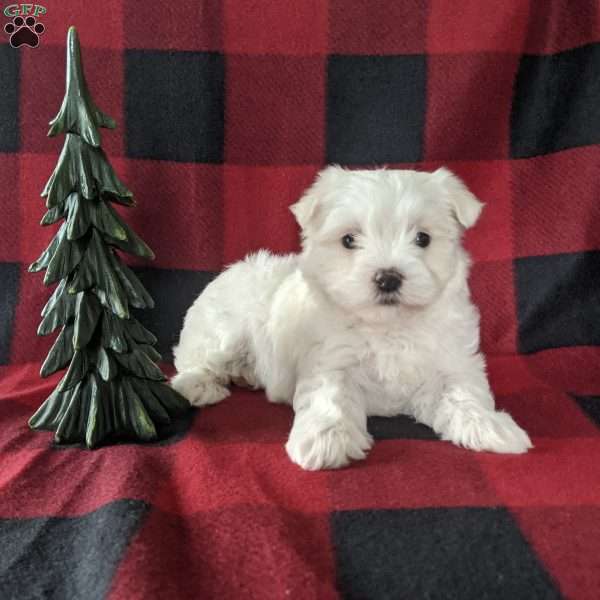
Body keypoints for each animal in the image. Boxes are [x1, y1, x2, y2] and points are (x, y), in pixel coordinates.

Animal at [171, 168, 532, 468]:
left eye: (423, 238)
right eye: (348, 240)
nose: (388, 278)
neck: (389, 326)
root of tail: (230, 270)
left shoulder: (452, 359)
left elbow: (464, 391)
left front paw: (489, 424)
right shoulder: (330, 359)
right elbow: (331, 395)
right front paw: (326, 439)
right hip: (224, 330)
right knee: (194, 358)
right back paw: (200, 386)